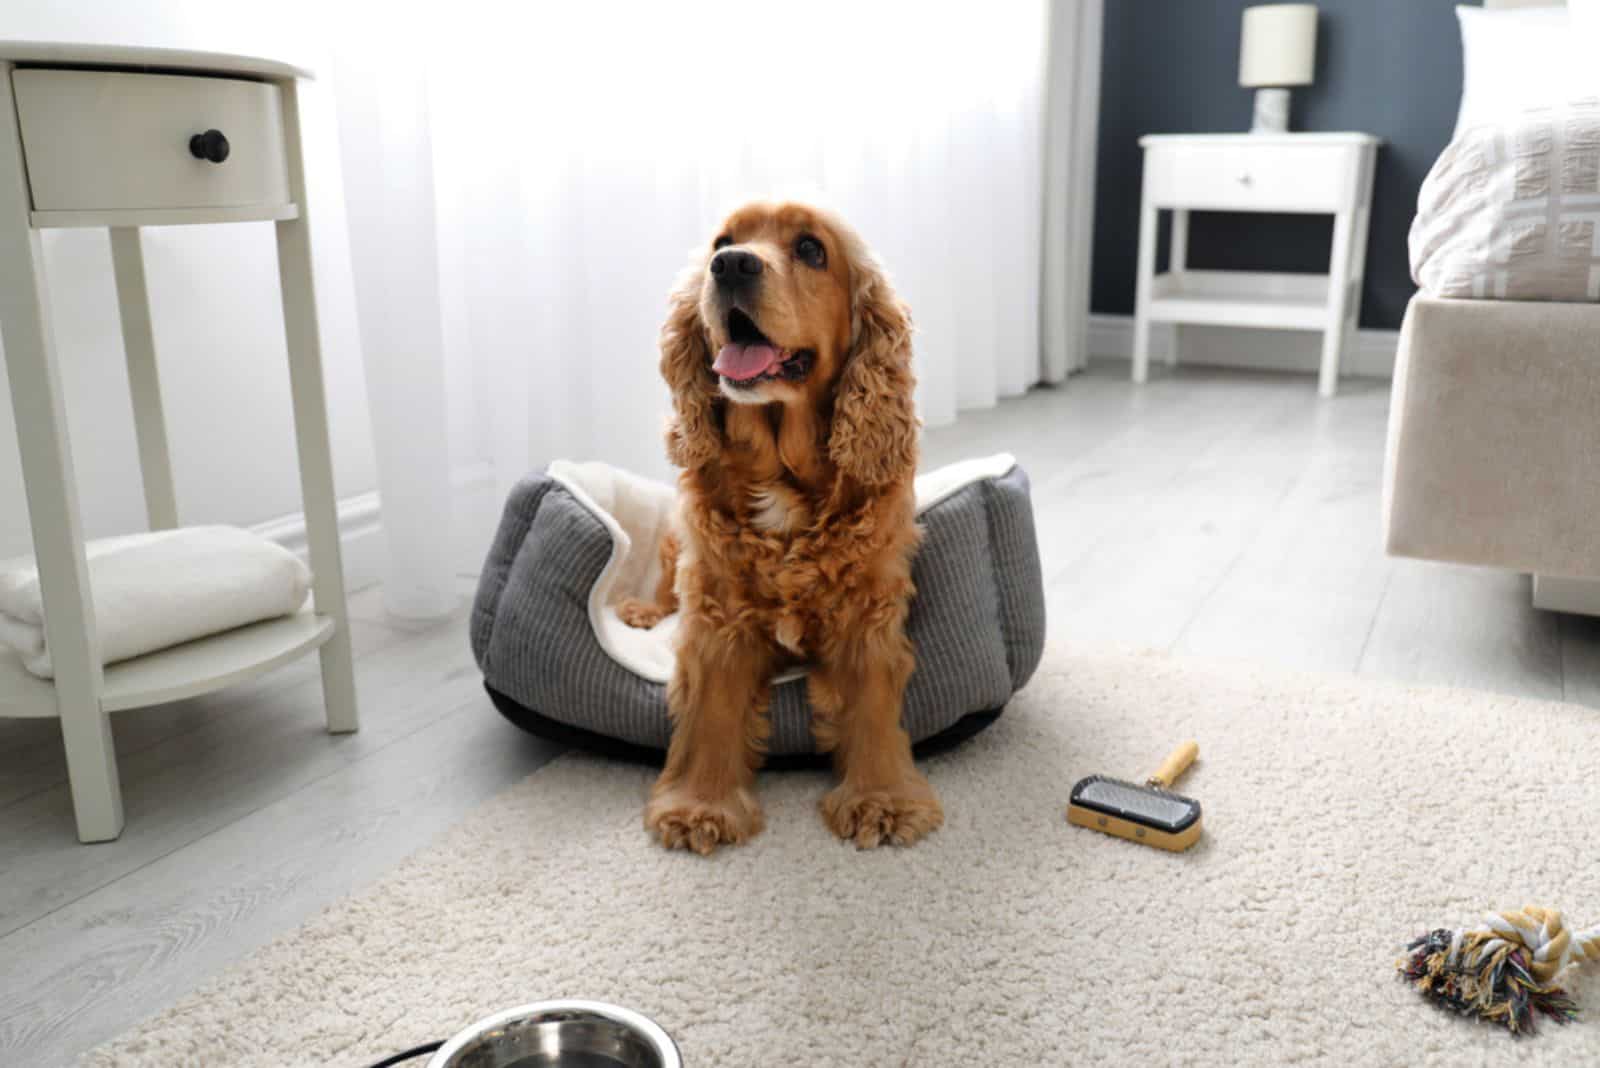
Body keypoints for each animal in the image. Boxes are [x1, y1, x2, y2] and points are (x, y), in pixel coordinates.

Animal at [614, 198, 934, 850]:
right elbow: (711, 711)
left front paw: (882, 800)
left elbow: (872, 705)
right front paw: (700, 805)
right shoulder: (716, 612)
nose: (730, 265)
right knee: (663, 591)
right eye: (722, 241)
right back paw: (640, 611)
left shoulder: (869, 611)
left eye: (811, 249)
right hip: (675, 546)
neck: (782, 473)